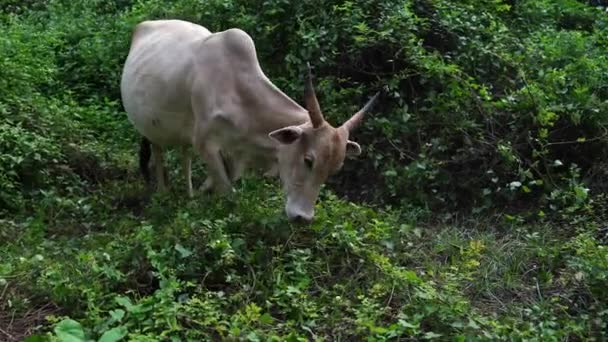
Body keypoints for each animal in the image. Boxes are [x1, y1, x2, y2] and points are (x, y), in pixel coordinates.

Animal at [120, 20, 378, 224]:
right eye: (308, 160)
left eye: (335, 169)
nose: (302, 218)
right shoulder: (206, 144)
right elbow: (228, 194)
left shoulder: (235, 155)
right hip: (151, 129)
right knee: (158, 153)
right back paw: (163, 194)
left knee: (185, 156)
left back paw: (189, 194)